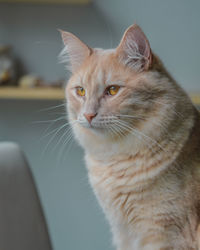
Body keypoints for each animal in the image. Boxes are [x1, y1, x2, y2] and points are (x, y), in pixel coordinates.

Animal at [59, 23, 200, 250]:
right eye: (80, 91)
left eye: (112, 90)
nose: (88, 115)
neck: (113, 158)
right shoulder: (123, 233)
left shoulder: (162, 234)